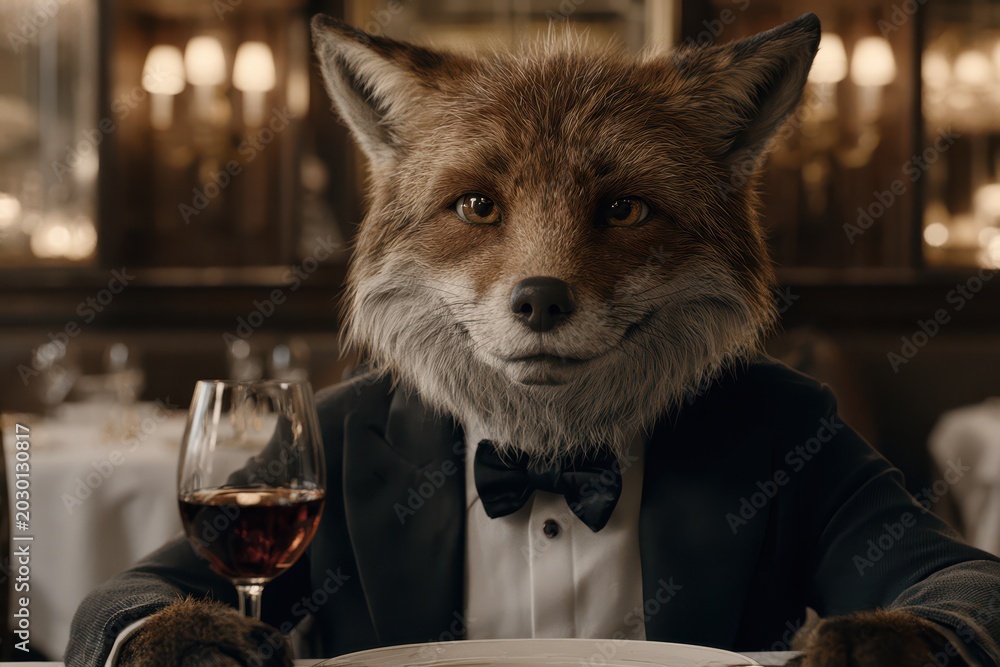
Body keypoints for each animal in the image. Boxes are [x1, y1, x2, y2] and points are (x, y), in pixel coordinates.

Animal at [70, 12, 1000, 667]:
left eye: (623, 208)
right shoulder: (293, 449)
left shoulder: (829, 447)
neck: (549, 462)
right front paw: (186, 640)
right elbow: (149, 588)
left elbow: (949, 570)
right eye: (479, 205)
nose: (541, 299)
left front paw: (879, 643)